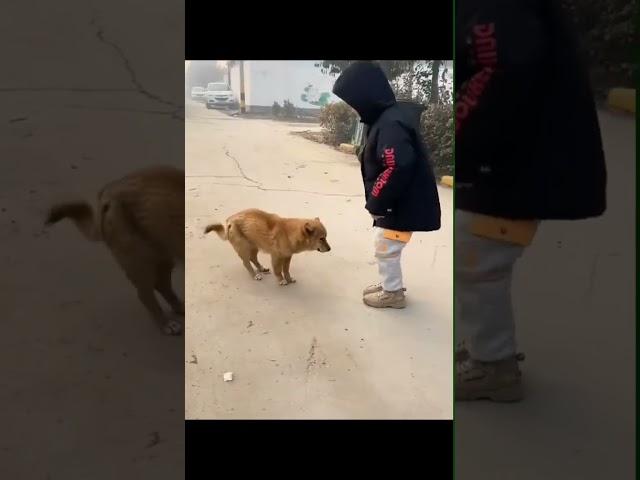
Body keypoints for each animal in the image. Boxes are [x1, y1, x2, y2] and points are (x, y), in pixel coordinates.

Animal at [44, 165, 185, 334]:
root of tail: (108, 191)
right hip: (139, 259)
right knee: (145, 294)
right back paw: (165, 323)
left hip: (163, 252)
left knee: (162, 284)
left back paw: (180, 307)